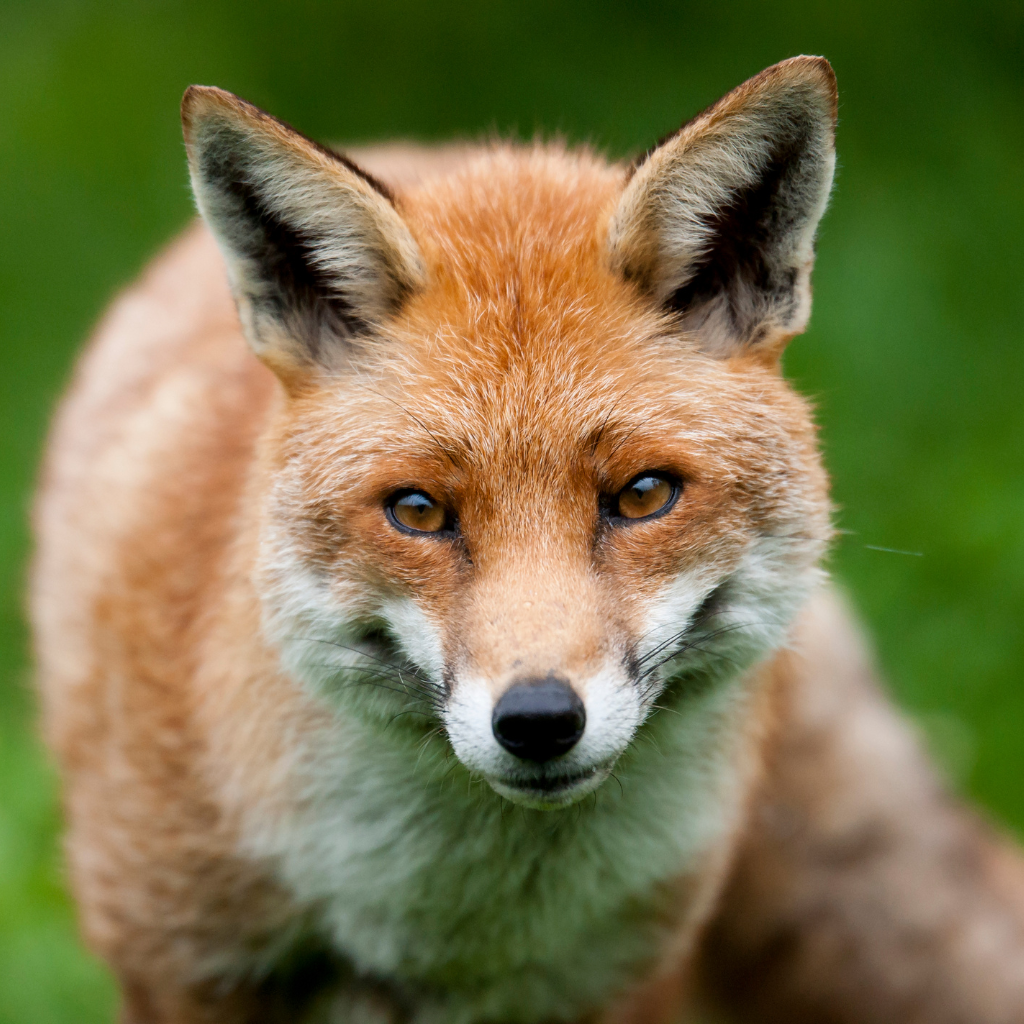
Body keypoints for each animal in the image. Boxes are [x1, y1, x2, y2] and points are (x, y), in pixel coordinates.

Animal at [29, 55, 1024, 1024]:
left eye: (643, 495)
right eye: (418, 511)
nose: (539, 721)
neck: (454, 942)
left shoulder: (627, 982)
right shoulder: (172, 964)